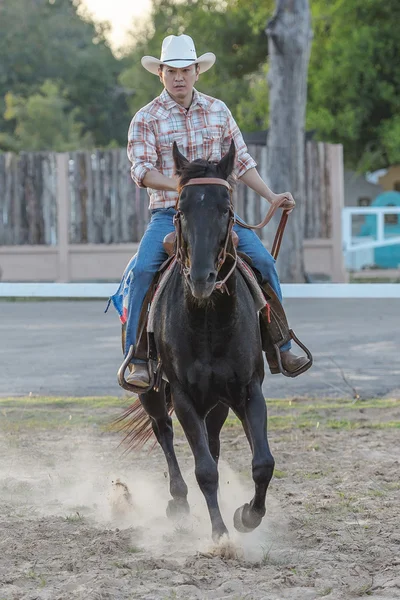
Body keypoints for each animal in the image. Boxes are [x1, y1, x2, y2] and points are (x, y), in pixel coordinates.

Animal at [120, 143, 274, 540]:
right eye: (180, 209)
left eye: (226, 208)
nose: (203, 277)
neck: (209, 324)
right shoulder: (184, 395)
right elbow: (204, 470)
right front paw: (220, 535)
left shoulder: (248, 390)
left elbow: (262, 462)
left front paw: (247, 516)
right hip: (152, 392)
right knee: (164, 431)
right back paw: (178, 502)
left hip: (217, 402)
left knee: (213, 440)